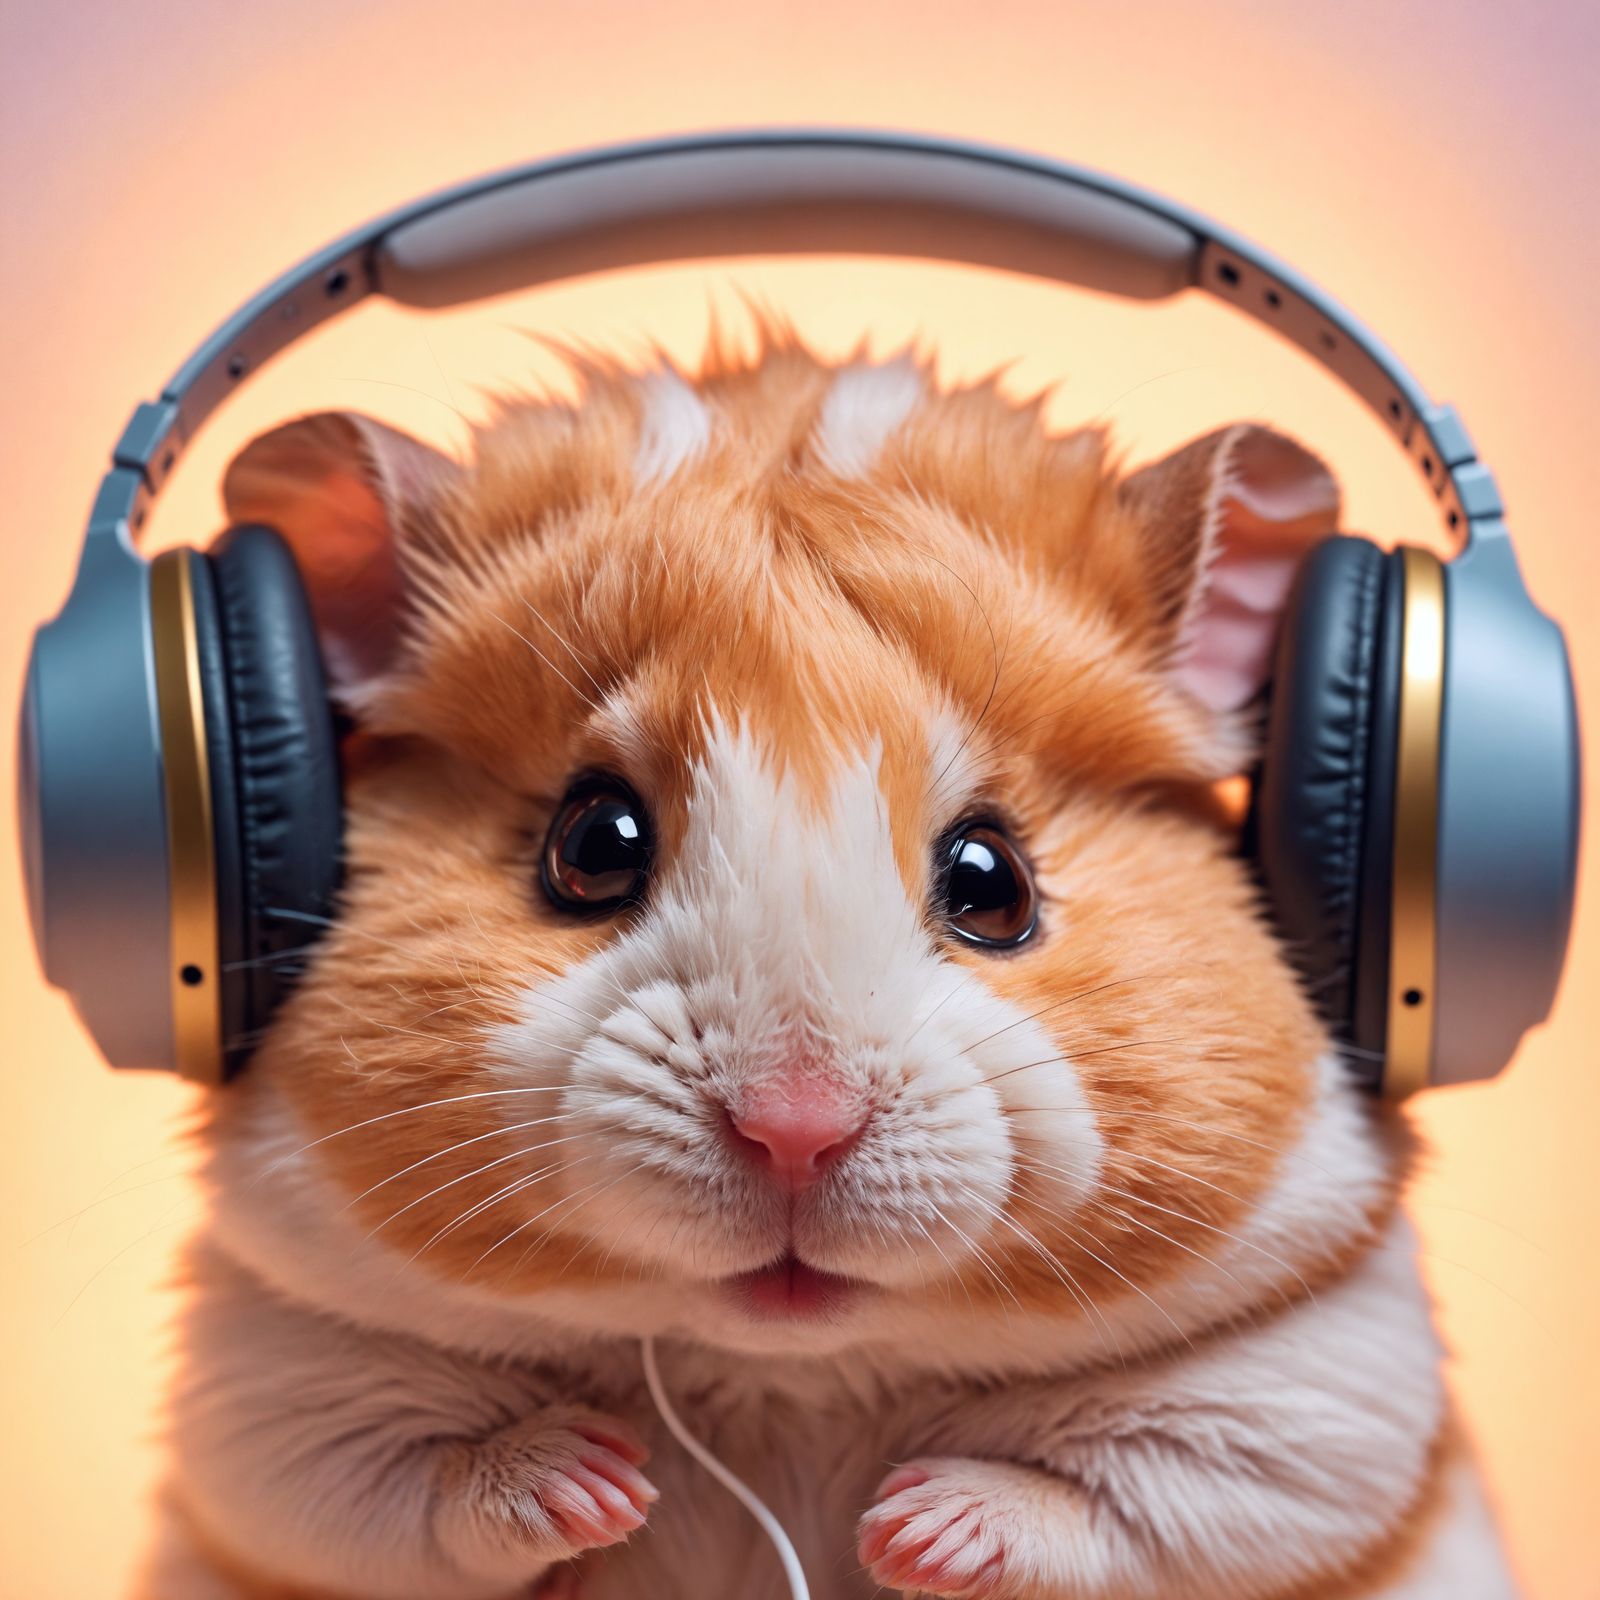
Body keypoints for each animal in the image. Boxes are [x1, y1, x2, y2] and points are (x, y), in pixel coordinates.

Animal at [138, 340, 1518, 1600]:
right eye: (591, 845)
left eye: (995, 882)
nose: (793, 1132)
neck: (787, 1375)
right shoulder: (272, 1388)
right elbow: (413, 1487)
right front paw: (599, 1478)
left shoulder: (1318, 1398)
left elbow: (1119, 1508)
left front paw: (907, 1527)